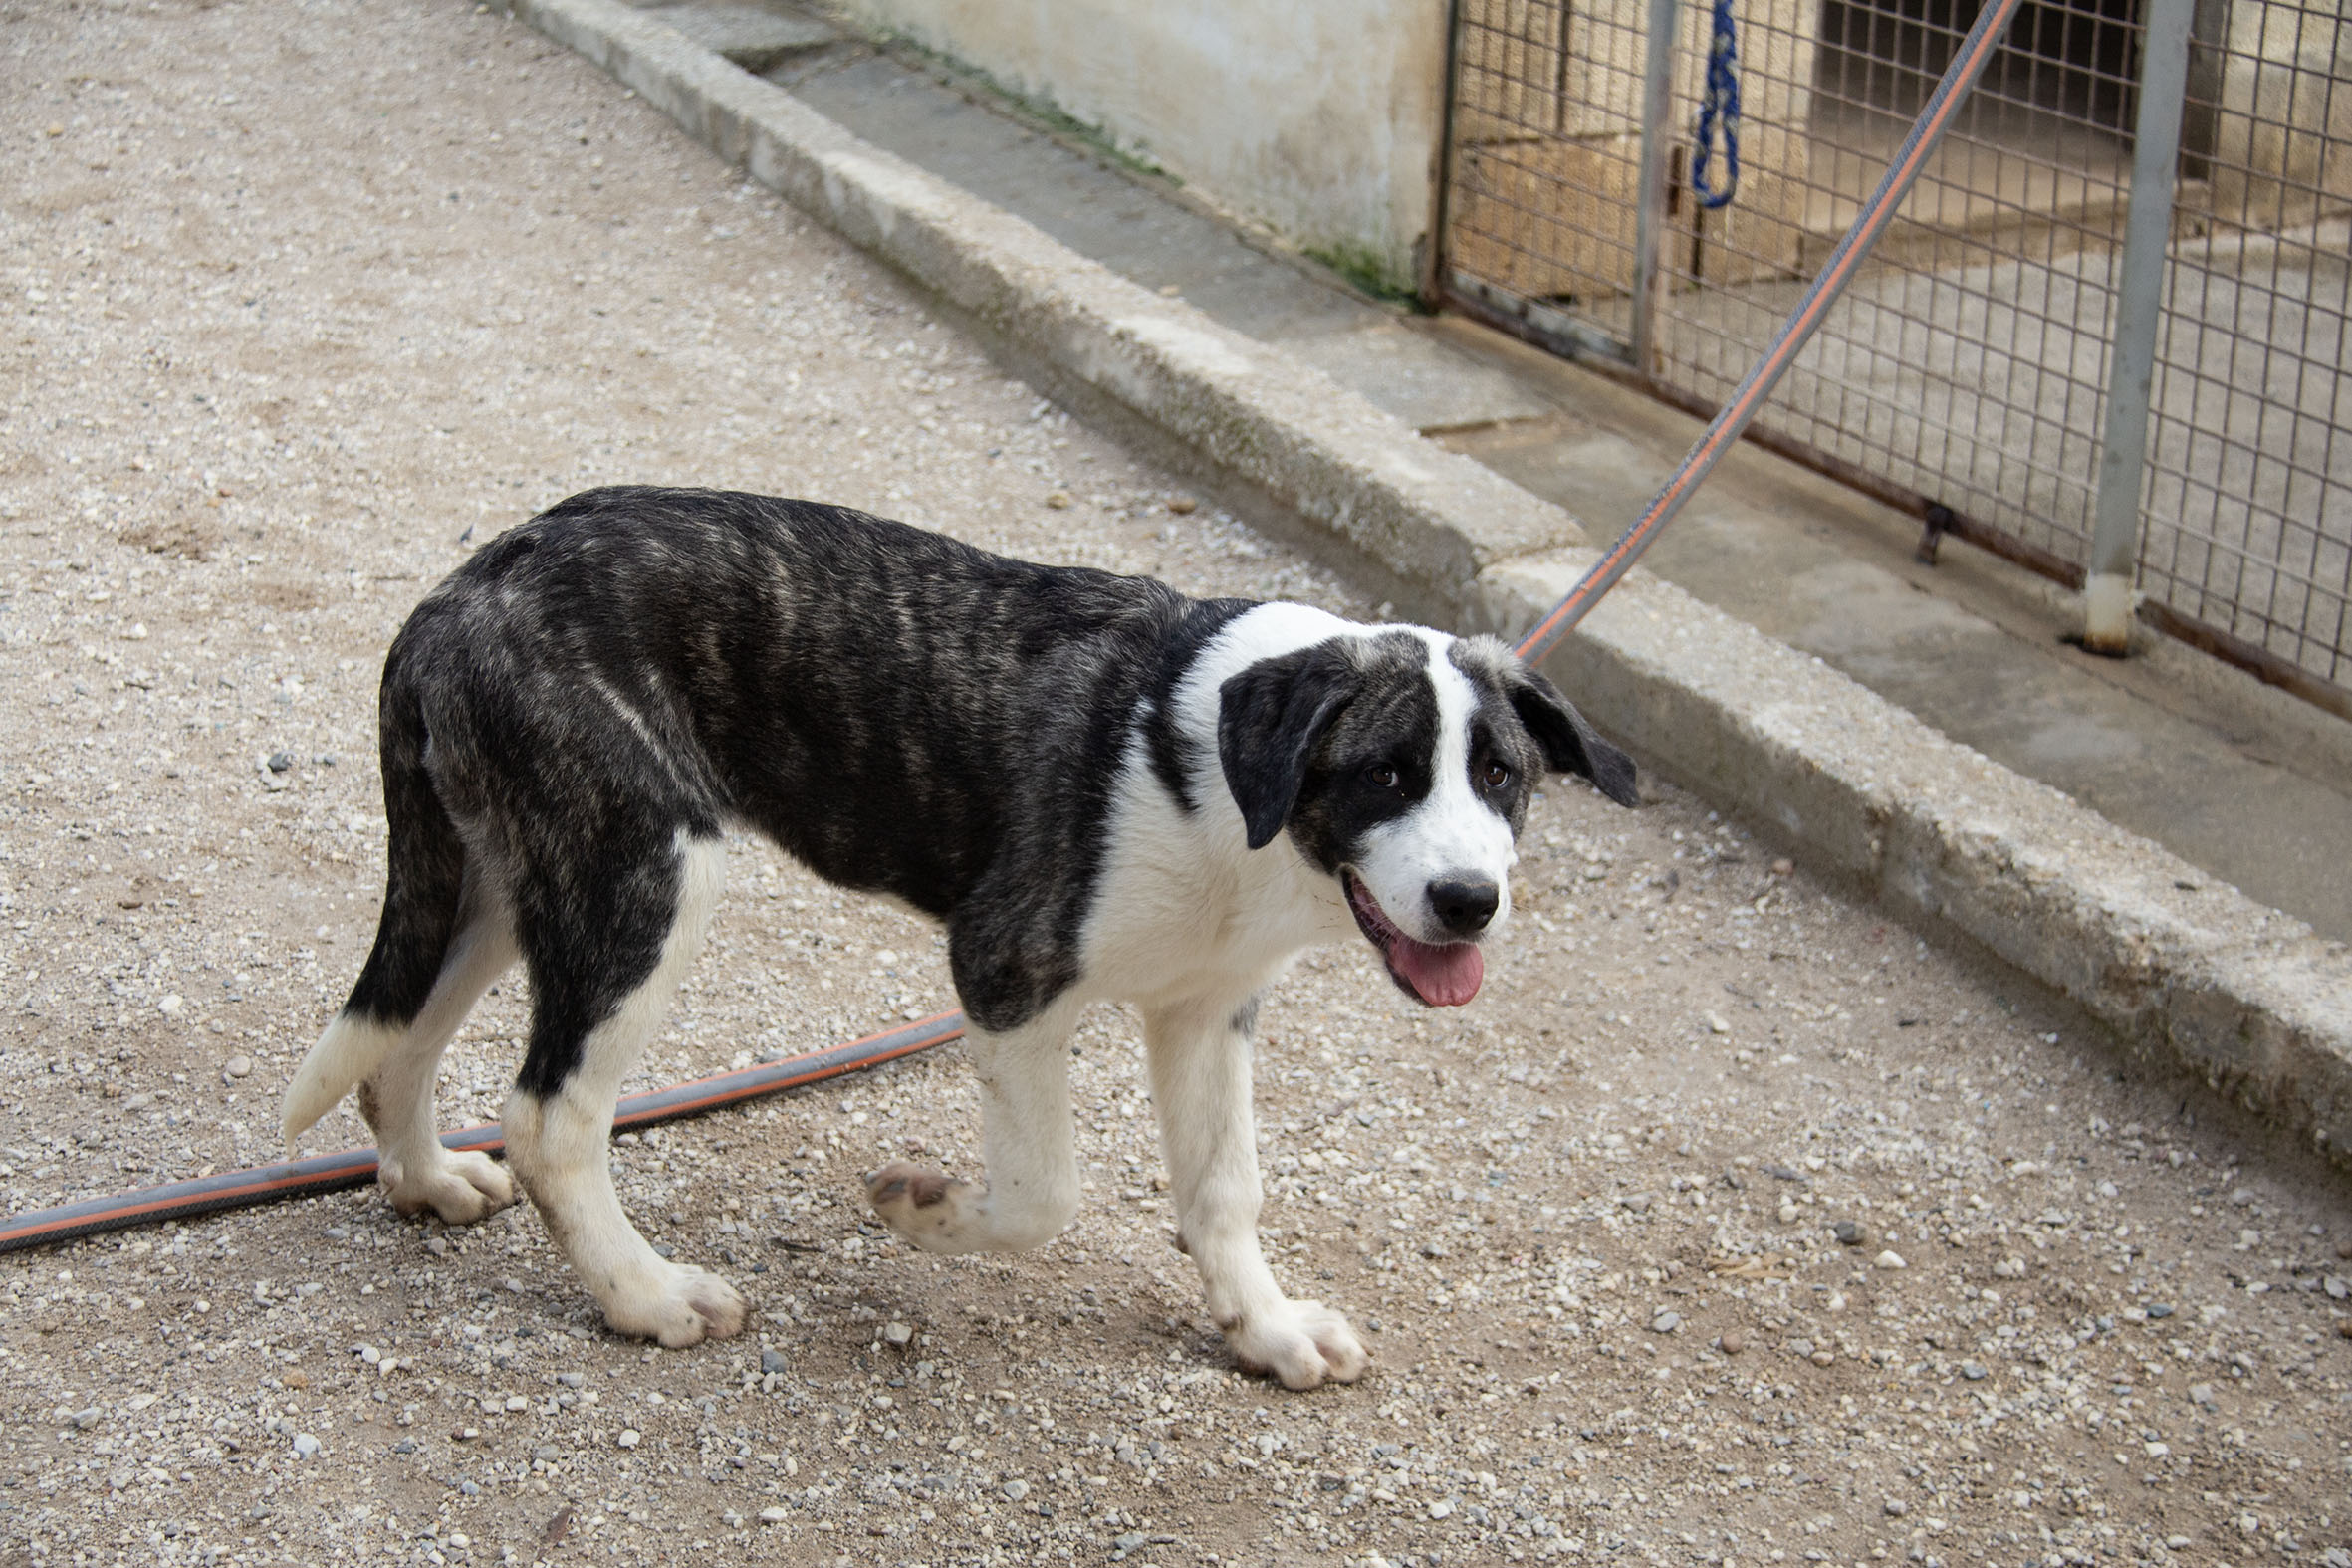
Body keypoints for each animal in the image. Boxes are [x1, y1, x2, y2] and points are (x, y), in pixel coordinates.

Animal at [281, 486, 1637, 1388]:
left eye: (1503, 778)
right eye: (1383, 775)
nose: (1468, 901)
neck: (1216, 771)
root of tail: (460, 593)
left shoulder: (1206, 1006)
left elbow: (1222, 1187)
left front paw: (1263, 1330)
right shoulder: (1005, 975)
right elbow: (1043, 1195)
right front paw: (921, 1209)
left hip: (505, 879)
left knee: (400, 1040)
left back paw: (424, 1179)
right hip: (646, 876)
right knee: (550, 1114)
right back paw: (646, 1297)